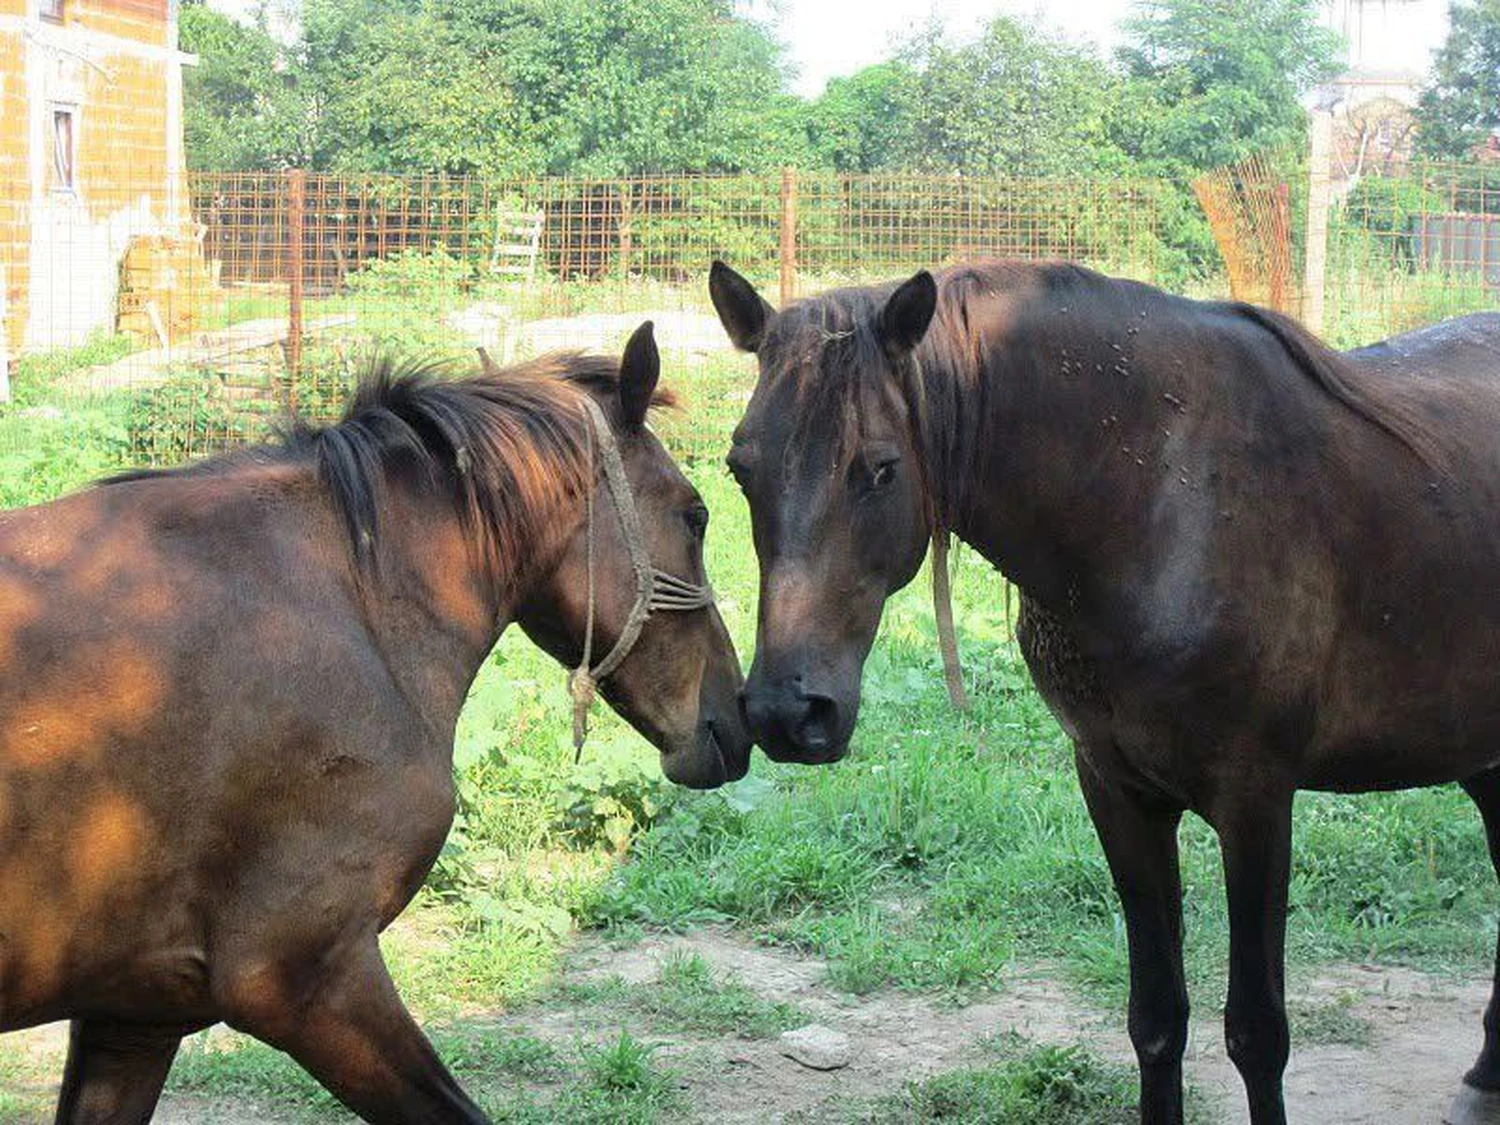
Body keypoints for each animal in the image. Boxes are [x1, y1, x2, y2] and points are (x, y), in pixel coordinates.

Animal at [708, 256, 1500, 1125]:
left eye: (878, 468)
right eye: (740, 468)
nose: (787, 712)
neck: (1161, 500)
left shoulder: (1256, 801)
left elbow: (1258, 1033)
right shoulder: (1117, 790)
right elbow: (1156, 1018)